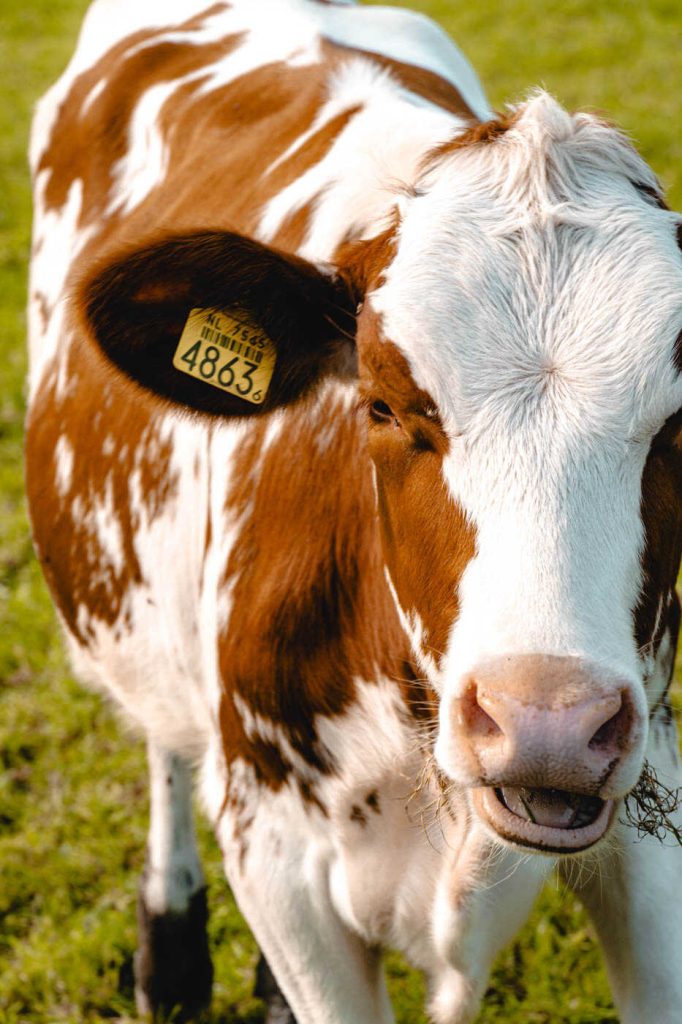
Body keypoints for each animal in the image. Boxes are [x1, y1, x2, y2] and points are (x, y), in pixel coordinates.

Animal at [25, 0, 682, 1022]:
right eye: (380, 405)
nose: (548, 728)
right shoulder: (275, 857)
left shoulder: (654, 825)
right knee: (164, 741)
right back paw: (168, 952)